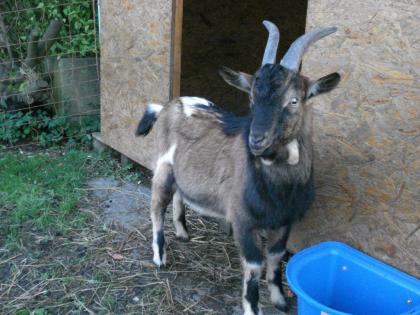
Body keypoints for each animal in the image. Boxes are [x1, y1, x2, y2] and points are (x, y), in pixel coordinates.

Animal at [136, 21, 340, 314]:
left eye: (294, 100)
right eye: (251, 98)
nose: (256, 140)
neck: (279, 187)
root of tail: (168, 105)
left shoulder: (285, 221)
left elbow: (276, 257)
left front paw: (279, 299)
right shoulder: (243, 220)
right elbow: (254, 265)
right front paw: (253, 306)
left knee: (179, 195)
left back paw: (183, 232)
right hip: (162, 168)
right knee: (156, 208)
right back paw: (159, 256)